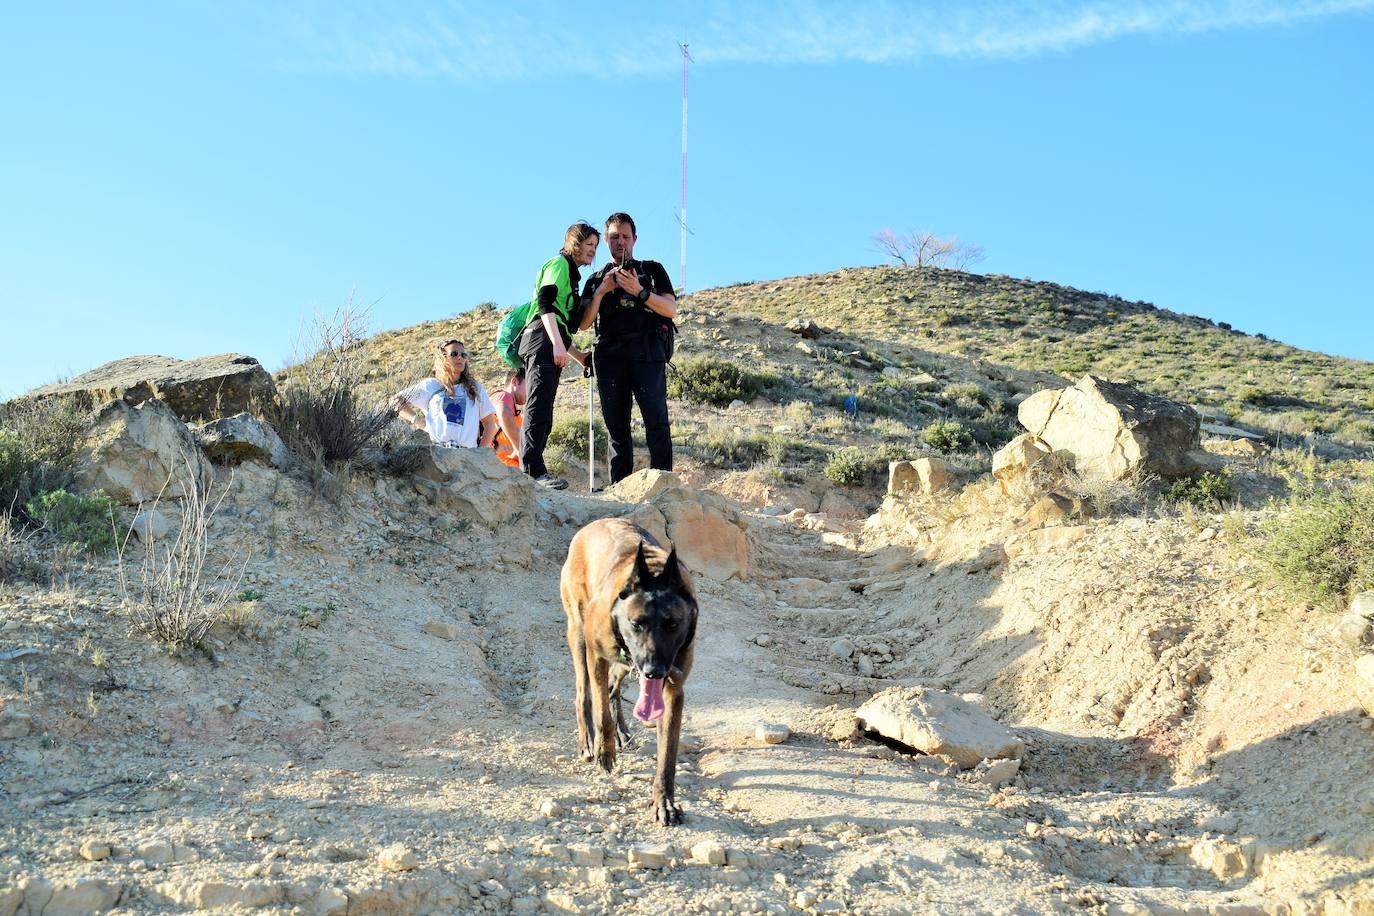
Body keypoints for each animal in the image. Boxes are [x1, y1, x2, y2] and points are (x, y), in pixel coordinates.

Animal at [557, 519, 697, 829]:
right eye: (636, 623)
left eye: (672, 623)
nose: (654, 671)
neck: (655, 573)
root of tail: (594, 524)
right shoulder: (597, 655)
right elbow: (601, 713)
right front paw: (604, 751)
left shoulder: (674, 691)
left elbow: (667, 756)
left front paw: (664, 803)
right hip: (579, 636)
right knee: (584, 693)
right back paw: (589, 741)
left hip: (626, 663)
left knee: (612, 686)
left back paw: (621, 731)